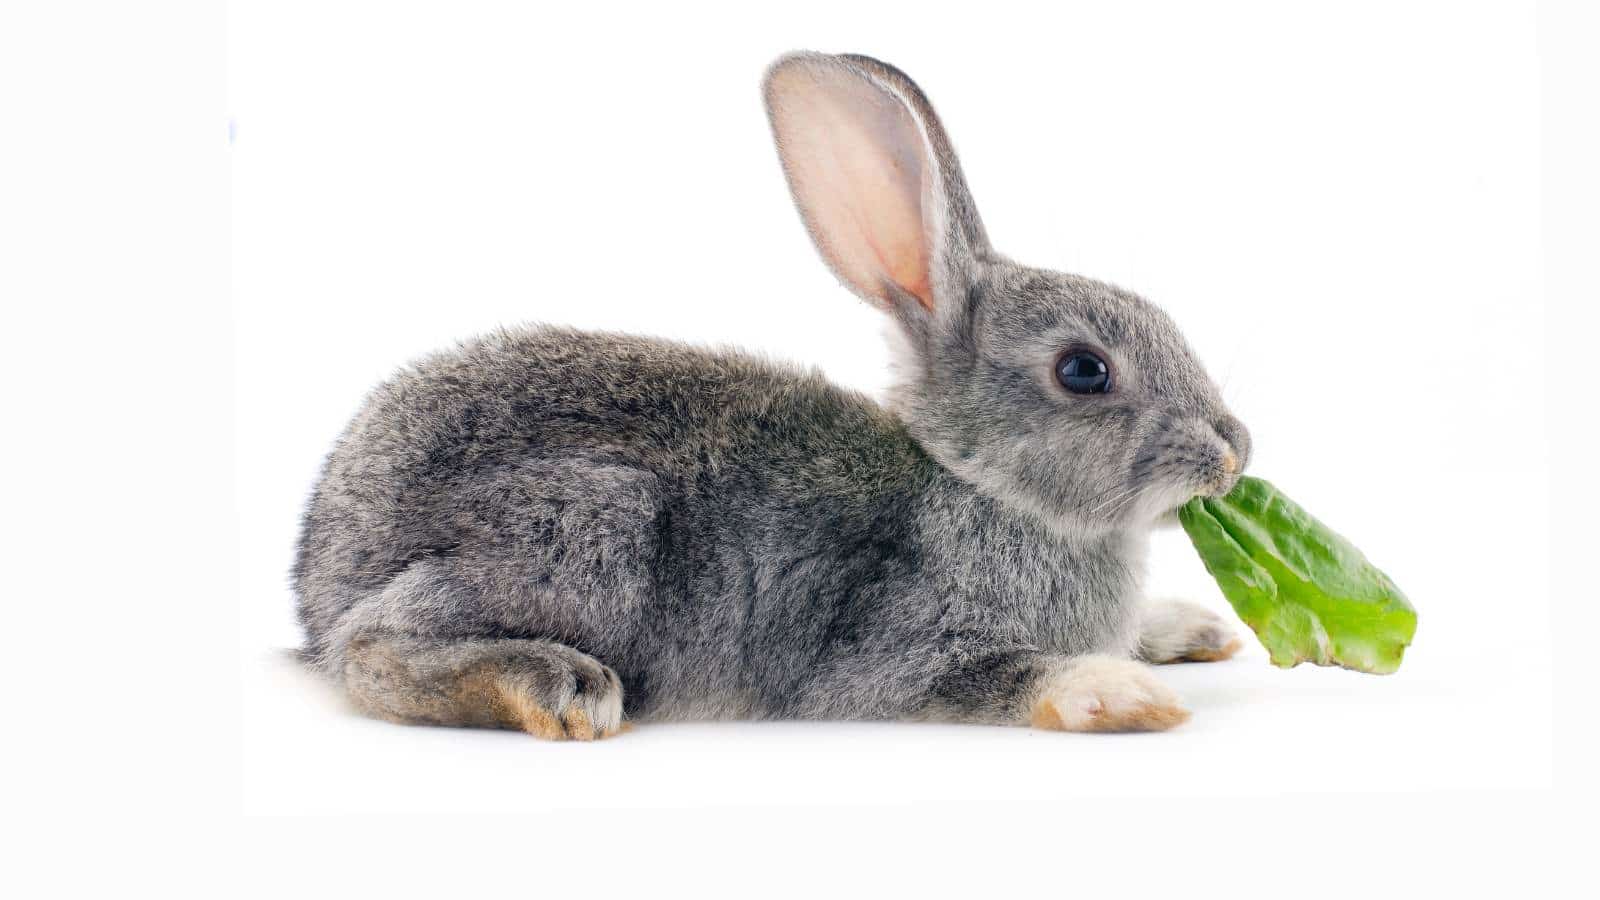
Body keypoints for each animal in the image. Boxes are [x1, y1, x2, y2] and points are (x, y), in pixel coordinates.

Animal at [293, 51, 1251, 740]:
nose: (1234, 451)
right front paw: (1122, 692)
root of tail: (320, 572)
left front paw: (1192, 630)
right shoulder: (894, 653)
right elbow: (1005, 677)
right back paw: (560, 686)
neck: (976, 487)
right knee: (370, 650)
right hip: (588, 526)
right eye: (1084, 370)